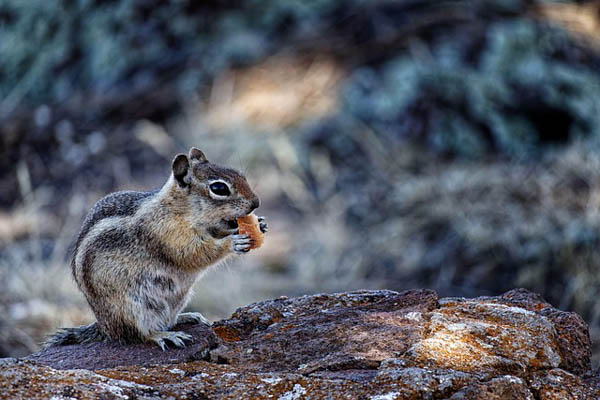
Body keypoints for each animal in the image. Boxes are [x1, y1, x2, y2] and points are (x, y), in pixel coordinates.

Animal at [42, 147, 268, 350]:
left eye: (240, 174)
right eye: (219, 189)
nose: (256, 202)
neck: (179, 209)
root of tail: (105, 327)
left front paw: (260, 224)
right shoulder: (168, 234)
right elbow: (194, 253)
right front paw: (233, 242)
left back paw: (186, 317)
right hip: (131, 308)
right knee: (137, 334)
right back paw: (165, 335)